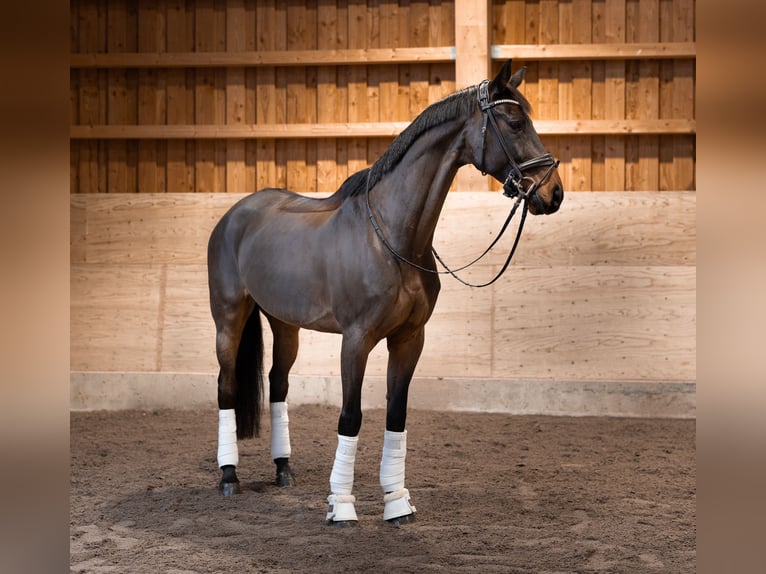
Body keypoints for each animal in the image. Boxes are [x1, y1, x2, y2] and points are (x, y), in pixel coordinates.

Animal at [207, 62, 568, 528]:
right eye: (515, 122)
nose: (553, 193)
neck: (393, 239)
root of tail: (235, 215)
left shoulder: (409, 339)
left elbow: (396, 414)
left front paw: (397, 502)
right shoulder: (356, 341)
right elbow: (351, 416)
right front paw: (341, 505)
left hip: (285, 324)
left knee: (278, 384)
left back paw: (283, 469)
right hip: (229, 318)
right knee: (226, 385)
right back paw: (228, 476)